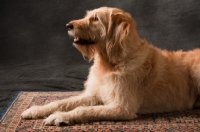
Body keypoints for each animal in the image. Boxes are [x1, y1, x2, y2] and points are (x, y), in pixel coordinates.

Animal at [21, 6, 200, 126]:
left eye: (95, 18)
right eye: (87, 16)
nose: (68, 26)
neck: (111, 61)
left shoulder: (122, 108)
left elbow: (84, 110)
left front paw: (60, 117)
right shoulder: (93, 95)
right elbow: (62, 102)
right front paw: (36, 110)